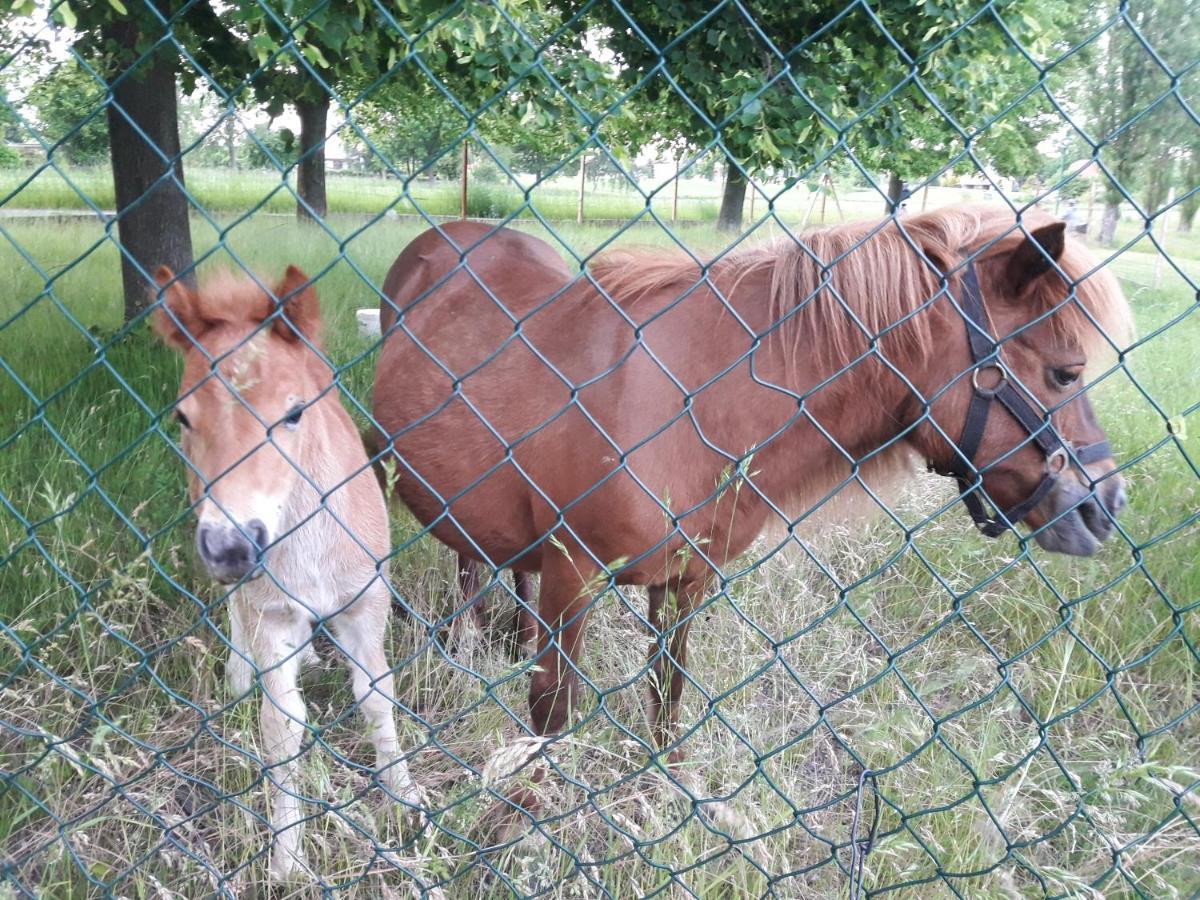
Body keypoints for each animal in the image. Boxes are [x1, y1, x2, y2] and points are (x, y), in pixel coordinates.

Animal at [154, 267, 420, 883]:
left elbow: (377, 694)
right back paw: (239, 675)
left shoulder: (367, 600)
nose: (230, 546)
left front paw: (405, 798)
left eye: (294, 413)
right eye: (183, 416)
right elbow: (282, 726)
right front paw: (288, 857)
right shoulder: (268, 609)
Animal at [374, 207, 1132, 835]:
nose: (1102, 507)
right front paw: (530, 812)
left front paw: (667, 788)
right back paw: (468, 641)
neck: (691, 406)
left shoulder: (687, 579)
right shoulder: (574, 573)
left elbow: (667, 692)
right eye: (1066, 372)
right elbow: (552, 710)